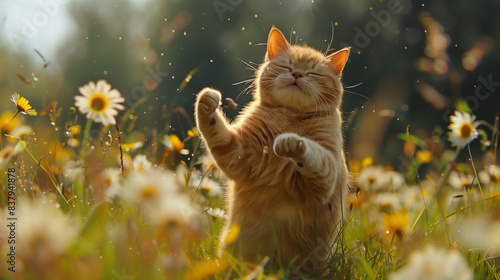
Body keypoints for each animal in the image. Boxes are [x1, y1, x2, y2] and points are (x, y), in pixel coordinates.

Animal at [193, 26, 350, 270]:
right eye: (287, 66)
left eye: (314, 73)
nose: (297, 74)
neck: (289, 116)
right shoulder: (238, 154)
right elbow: (215, 130)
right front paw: (207, 102)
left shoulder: (326, 177)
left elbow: (315, 154)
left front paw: (292, 142)